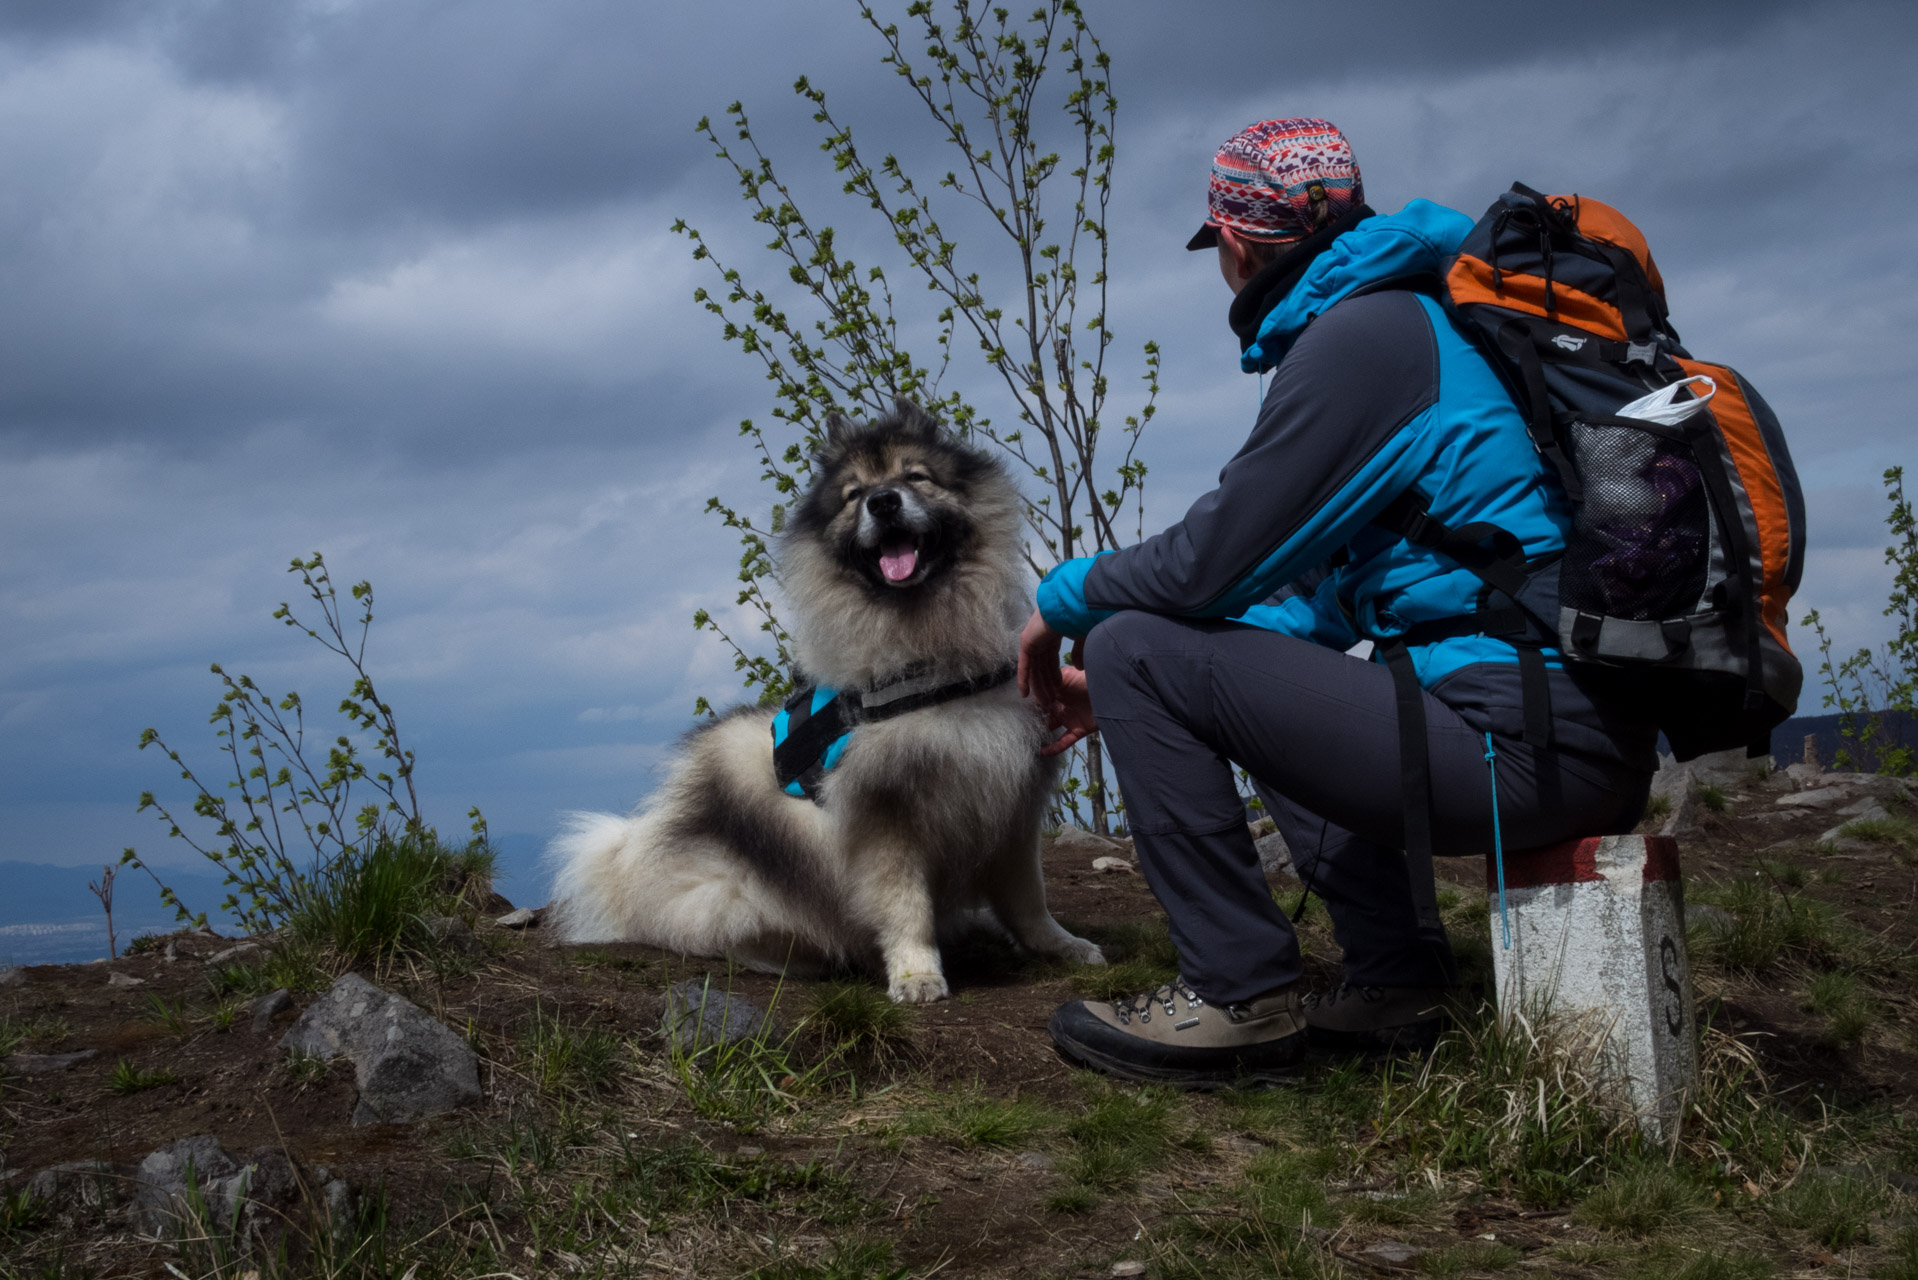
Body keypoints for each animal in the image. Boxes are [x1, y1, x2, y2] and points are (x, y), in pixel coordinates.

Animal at [548, 401, 1104, 997]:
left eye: (915, 476)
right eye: (854, 494)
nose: (883, 502)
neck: (933, 661)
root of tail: (631, 864)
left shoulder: (1010, 802)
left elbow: (1030, 899)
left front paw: (1060, 945)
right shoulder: (886, 816)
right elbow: (906, 905)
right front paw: (916, 973)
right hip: (735, 880)